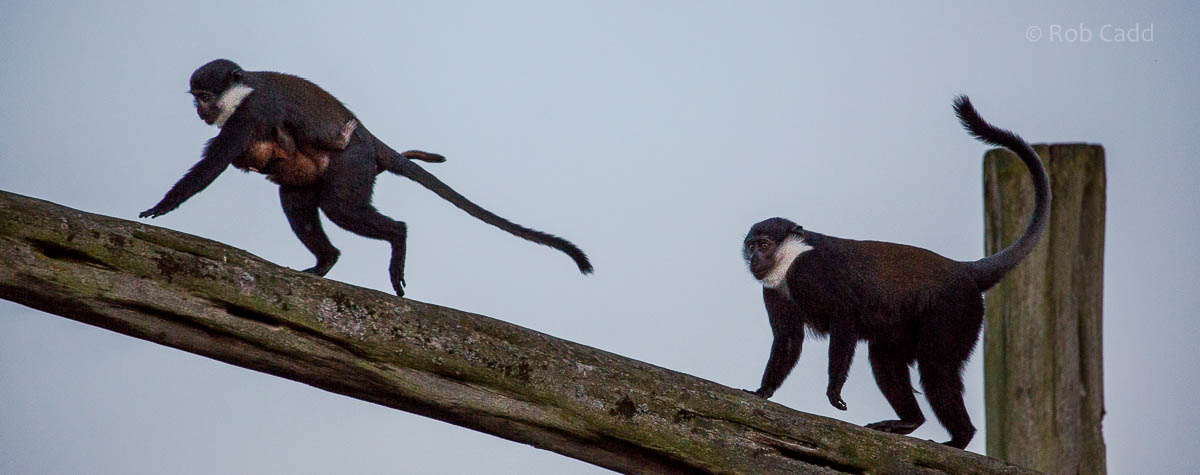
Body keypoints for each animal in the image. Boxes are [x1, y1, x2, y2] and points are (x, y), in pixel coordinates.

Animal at [141, 59, 592, 297]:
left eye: (205, 97)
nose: (201, 110)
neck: (242, 89)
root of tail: (372, 143)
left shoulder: (251, 112)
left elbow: (213, 164)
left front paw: (161, 207)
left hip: (352, 162)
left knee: (339, 206)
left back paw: (397, 236)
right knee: (296, 197)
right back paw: (326, 260)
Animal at [740, 96, 1049, 450]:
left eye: (764, 244)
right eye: (750, 245)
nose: (754, 258)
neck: (790, 258)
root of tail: (962, 270)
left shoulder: (813, 271)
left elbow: (844, 317)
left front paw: (834, 391)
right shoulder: (773, 289)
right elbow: (789, 339)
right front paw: (762, 391)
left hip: (956, 313)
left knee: (936, 367)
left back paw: (960, 437)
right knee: (884, 357)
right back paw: (911, 421)